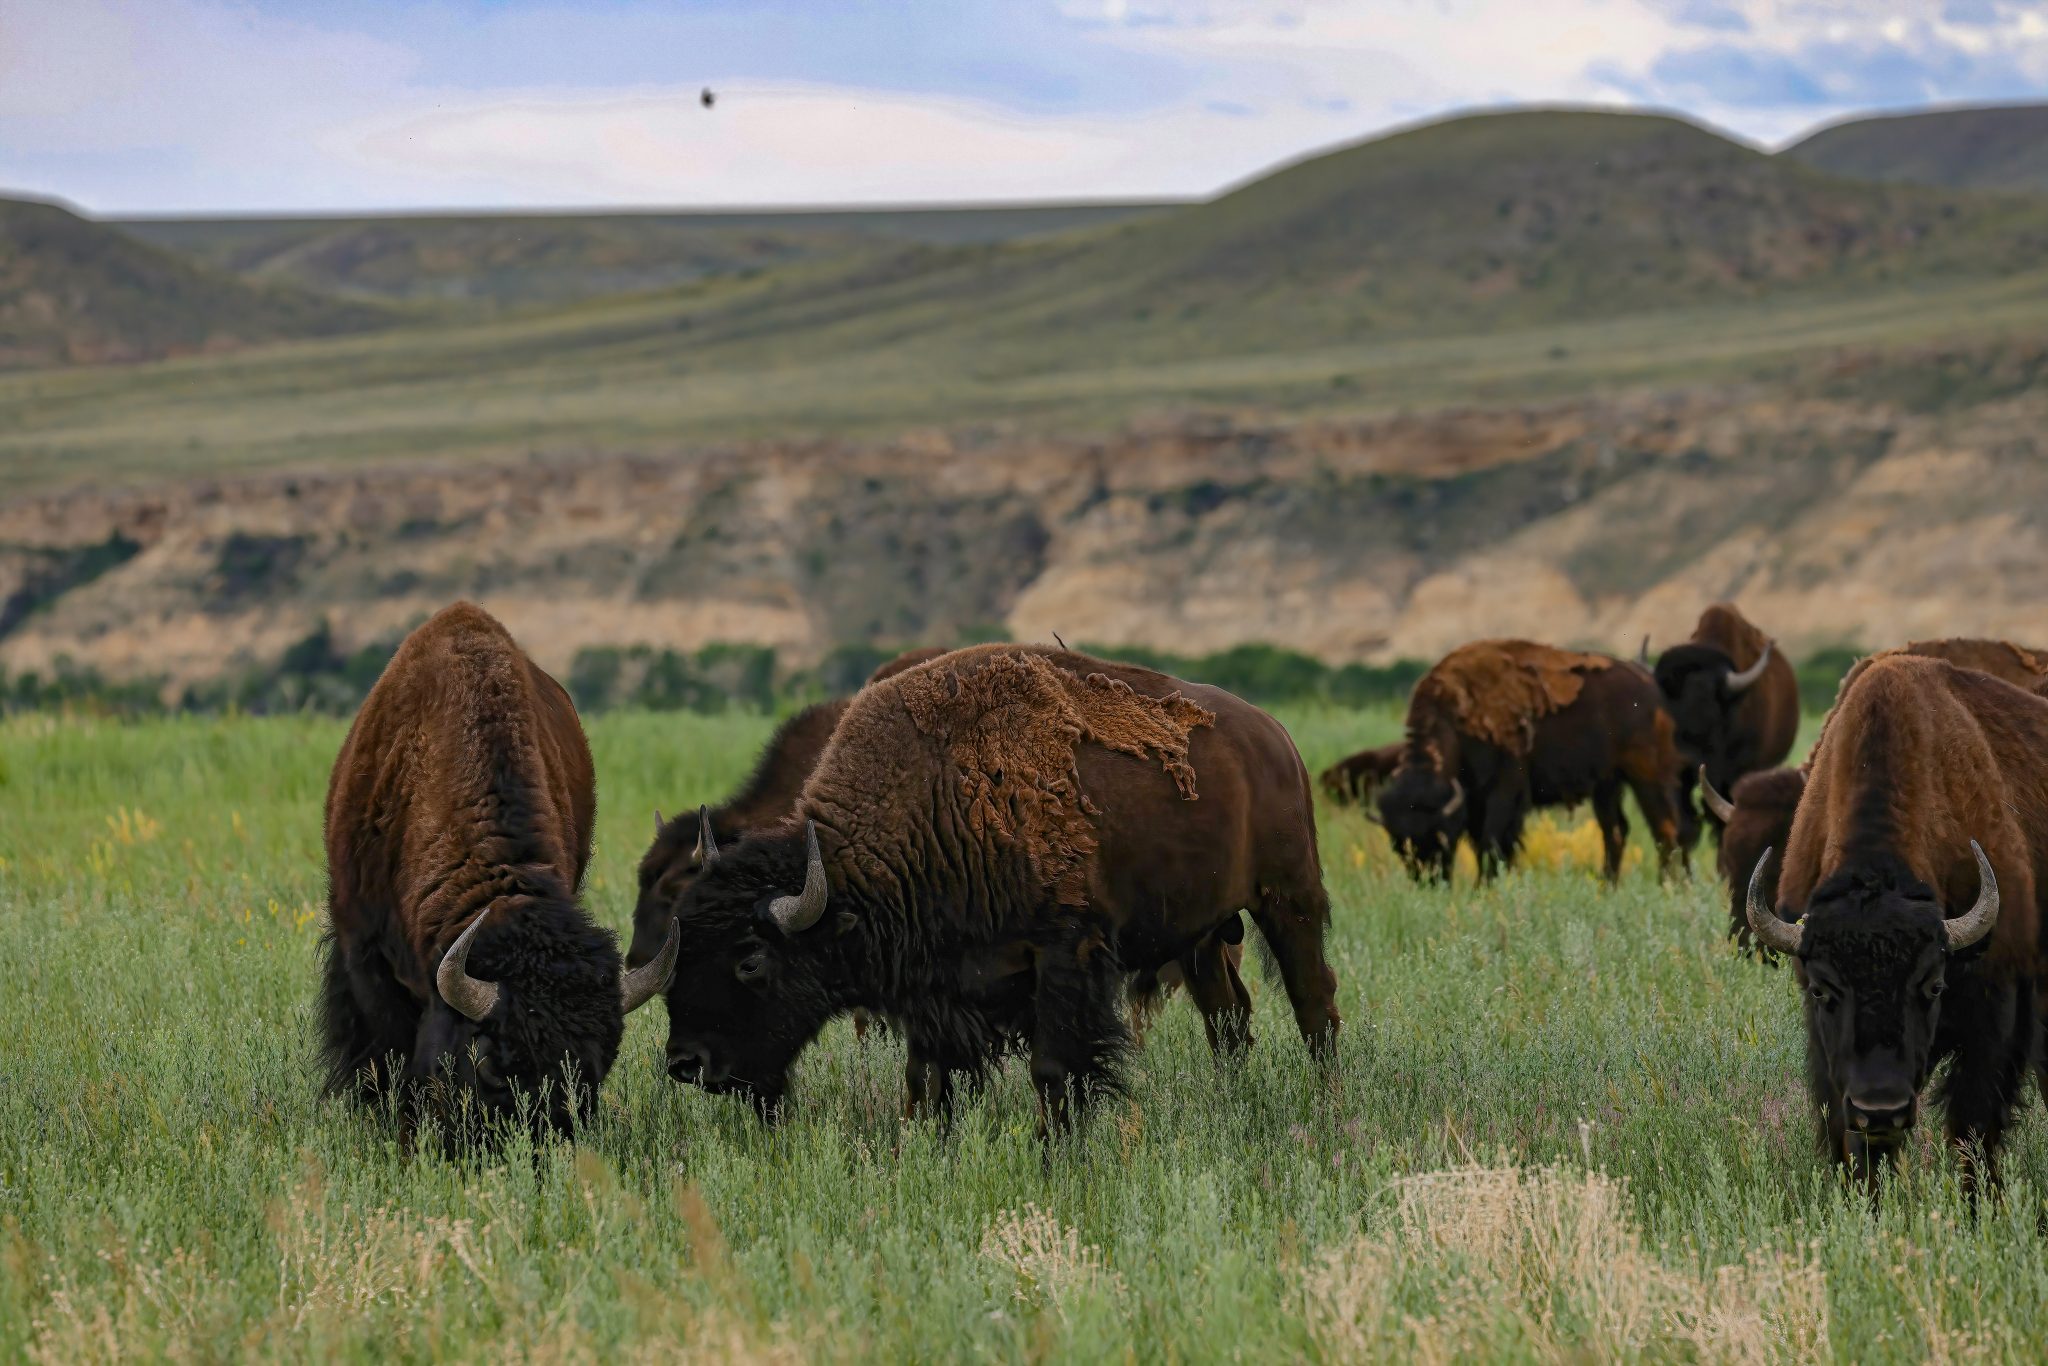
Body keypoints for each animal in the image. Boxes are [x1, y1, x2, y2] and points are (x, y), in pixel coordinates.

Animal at [657, 644, 1340, 1133]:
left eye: (750, 960)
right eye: (684, 949)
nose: (686, 1063)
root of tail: (1275, 737)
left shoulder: (1065, 958)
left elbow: (1055, 1071)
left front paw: (1055, 1153)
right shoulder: (940, 993)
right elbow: (929, 1081)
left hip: (1289, 901)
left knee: (1314, 1003)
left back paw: (1327, 1104)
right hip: (1200, 936)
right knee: (1228, 1017)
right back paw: (1235, 1099)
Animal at [1376, 639, 1686, 882]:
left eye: (1438, 833)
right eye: (1396, 842)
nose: (1428, 880)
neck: (1454, 719)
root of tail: (1649, 683)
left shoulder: (1504, 791)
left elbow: (1492, 842)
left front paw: (1484, 888)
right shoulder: (1474, 801)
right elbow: (1485, 845)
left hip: (1645, 774)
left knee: (1664, 828)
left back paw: (1668, 885)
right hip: (1606, 785)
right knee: (1616, 832)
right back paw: (1607, 886)